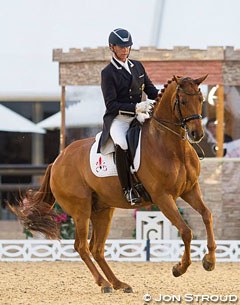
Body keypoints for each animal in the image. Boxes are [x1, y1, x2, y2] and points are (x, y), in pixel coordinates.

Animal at [9, 74, 216, 292]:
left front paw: (209, 261)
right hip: (81, 210)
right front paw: (179, 268)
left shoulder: (190, 190)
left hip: (103, 210)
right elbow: (186, 231)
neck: (172, 147)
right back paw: (104, 283)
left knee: (97, 248)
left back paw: (118, 283)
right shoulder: (163, 197)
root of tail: (57, 161)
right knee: (82, 246)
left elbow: (207, 215)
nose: (197, 134)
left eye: (201, 100)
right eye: (183, 101)